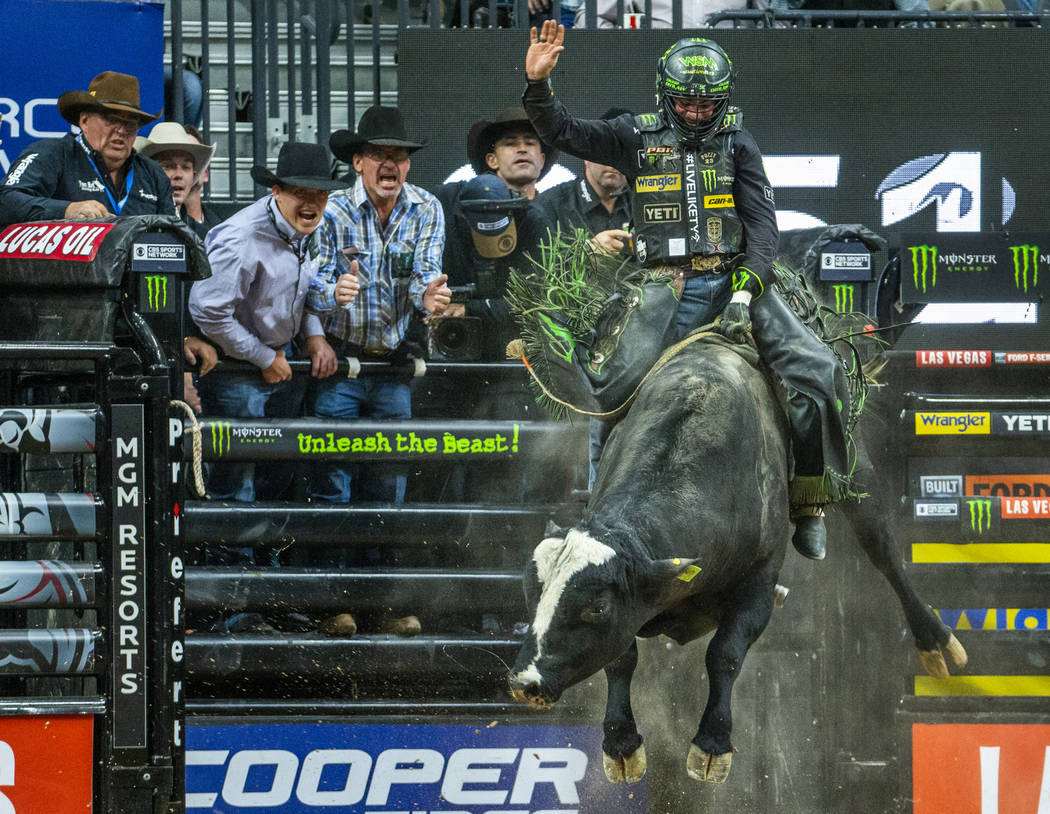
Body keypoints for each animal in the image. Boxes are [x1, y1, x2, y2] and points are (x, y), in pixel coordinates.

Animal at [503, 338, 961, 781]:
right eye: (531, 596)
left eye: (596, 607)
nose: (525, 682)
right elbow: (620, 657)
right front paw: (621, 745)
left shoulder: (757, 584)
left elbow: (724, 653)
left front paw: (712, 744)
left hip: (852, 467)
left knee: (881, 547)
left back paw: (936, 640)